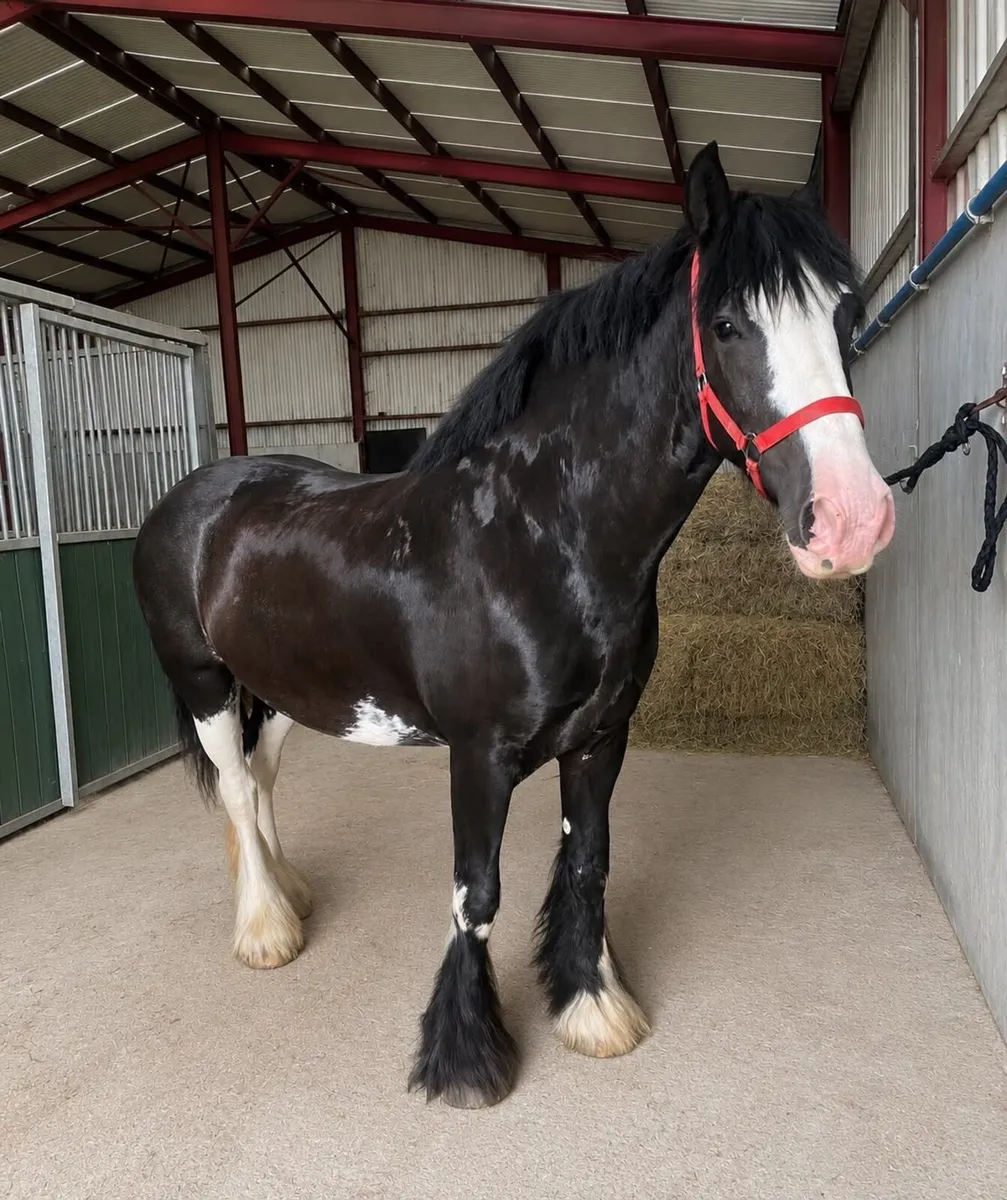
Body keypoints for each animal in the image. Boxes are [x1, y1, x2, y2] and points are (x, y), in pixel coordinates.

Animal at [132, 141, 895, 1109]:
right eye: (726, 325)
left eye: (844, 315)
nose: (852, 521)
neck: (535, 536)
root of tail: (195, 493)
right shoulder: (478, 755)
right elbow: (476, 895)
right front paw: (464, 1059)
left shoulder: (601, 738)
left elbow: (587, 863)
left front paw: (591, 1008)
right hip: (202, 683)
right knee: (234, 785)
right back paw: (266, 929)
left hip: (280, 689)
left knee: (260, 781)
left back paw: (287, 897)